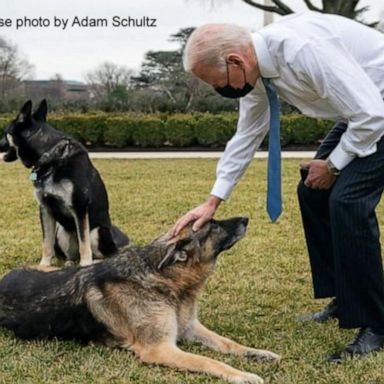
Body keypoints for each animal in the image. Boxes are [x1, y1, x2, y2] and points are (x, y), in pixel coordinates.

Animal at [0, 100, 129, 268]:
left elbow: (84, 243)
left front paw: (85, 265)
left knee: (104, 253)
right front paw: (44, 266)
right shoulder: (45, 209)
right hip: (61, 231)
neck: (49, 155)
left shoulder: (80, 208)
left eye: (5, 132)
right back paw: (70, 263)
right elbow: (46, 243)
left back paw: (94, 261)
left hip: (98, 232)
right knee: (71, 255)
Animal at [0, 218, 280, 382]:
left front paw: (258, 353)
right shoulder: (160, 348)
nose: (245, 219)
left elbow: (229, 344)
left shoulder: (190, 328)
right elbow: (208, 360)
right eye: (213, 226)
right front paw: (241, 375)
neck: (164, 279)